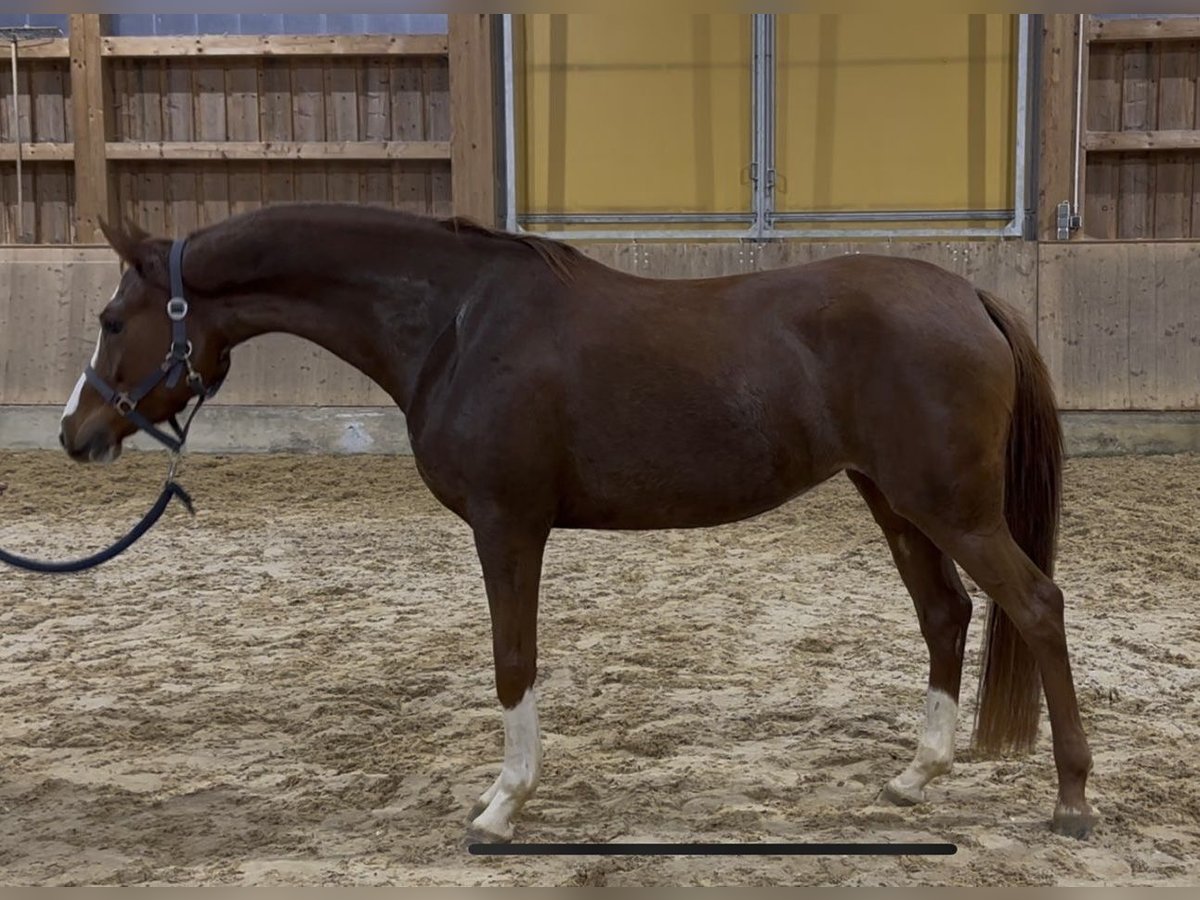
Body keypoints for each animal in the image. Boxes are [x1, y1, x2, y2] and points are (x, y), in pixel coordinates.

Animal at [57, 202, 1095, 843]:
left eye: (111, 321)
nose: (77, 433)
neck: (458, 323)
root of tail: (970, 295)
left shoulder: (507, 525)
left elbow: (512, 660)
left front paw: (501, 806)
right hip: (895, 499)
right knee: (946, 615)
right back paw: (916, 777)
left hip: (950, 507)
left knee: (1036, 606)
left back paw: (1073, 801)